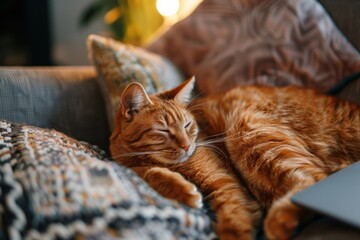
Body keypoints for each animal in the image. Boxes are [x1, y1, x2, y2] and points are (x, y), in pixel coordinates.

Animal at [109, 77, 360, 240]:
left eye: (187, 125)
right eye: (163, 131)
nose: (187, 145)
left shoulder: (224, 183)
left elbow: (234, 220)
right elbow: (151, 174)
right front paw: (181, 189)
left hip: (246, 125)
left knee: (313, 179)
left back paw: (279, 221)